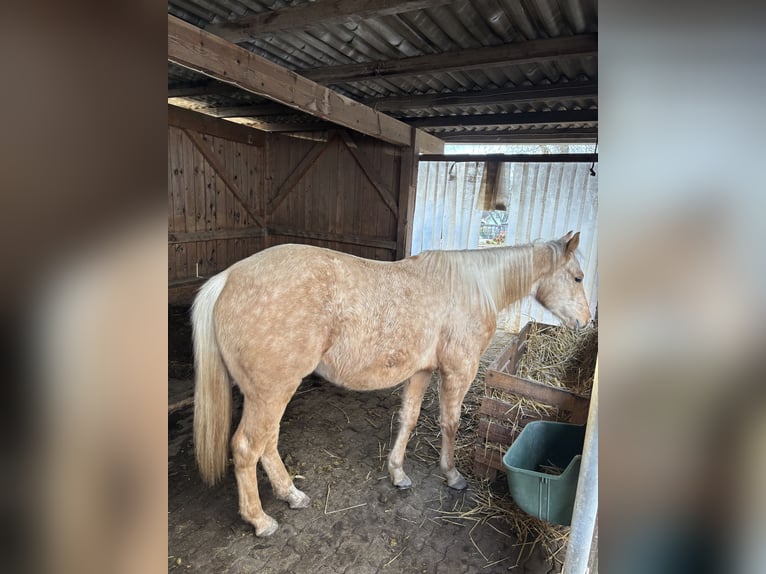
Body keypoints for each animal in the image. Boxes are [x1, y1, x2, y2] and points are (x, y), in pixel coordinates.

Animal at [191, 231, 591, 536]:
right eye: (577, 277)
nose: (586, 321)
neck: (473, 285)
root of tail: (228, 279)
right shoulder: (458, 370)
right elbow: (450, 423)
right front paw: (452, 475)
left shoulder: (421, 371)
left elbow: (408, 419)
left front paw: (398, 473)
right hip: (271, 393)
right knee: (247, 448)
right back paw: (260, 521)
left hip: (271, 394)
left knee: (268, 444)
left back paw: (292, 495)